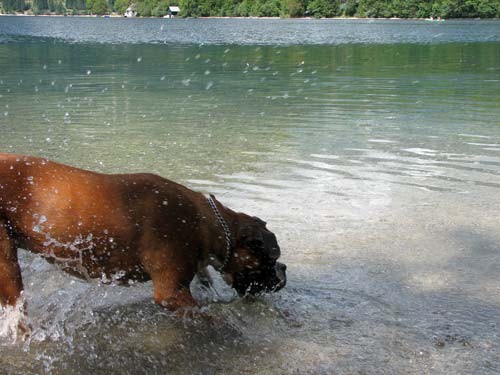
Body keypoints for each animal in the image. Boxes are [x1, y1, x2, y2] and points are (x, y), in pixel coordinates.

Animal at [0, 153, 288, 324]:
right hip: (8, 268)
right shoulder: (171, 293)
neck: (207, 222)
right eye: (273, 256)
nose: (284, 269)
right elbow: (206, 315)